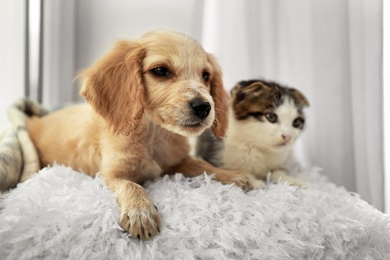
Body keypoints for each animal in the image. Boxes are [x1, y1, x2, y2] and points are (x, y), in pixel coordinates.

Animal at [27, 30, 253, 240]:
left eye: (205, 75)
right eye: (161, 70)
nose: (204, 107)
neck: (153, 135)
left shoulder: (177, 161)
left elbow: (202, 165)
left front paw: (233, 176)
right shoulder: (110, 173)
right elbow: (131, 185)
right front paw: (140, 212)